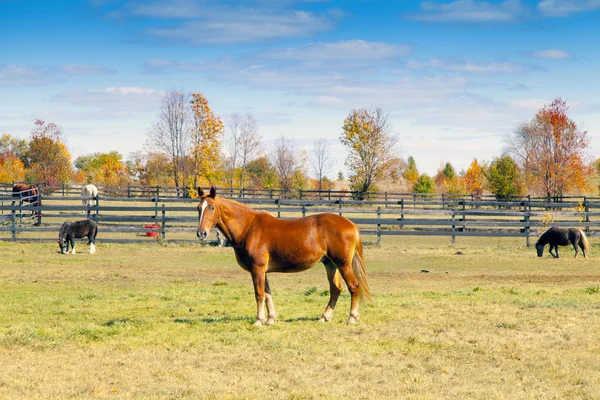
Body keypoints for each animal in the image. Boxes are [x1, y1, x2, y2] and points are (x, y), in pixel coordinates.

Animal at [197, 187, 370, 324]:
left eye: (211, 207)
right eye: (199, 208)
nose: (201, 233)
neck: (249, 227)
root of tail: (351, 224)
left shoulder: (257, 268)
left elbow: (259, 294)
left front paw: (259, 320)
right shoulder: (263, 270)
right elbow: (267, 293)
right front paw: (270, 319)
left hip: (343, 264)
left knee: (353, 286)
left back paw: (351, 317)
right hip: (330, 264)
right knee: (335, 289)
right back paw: (324, 317)